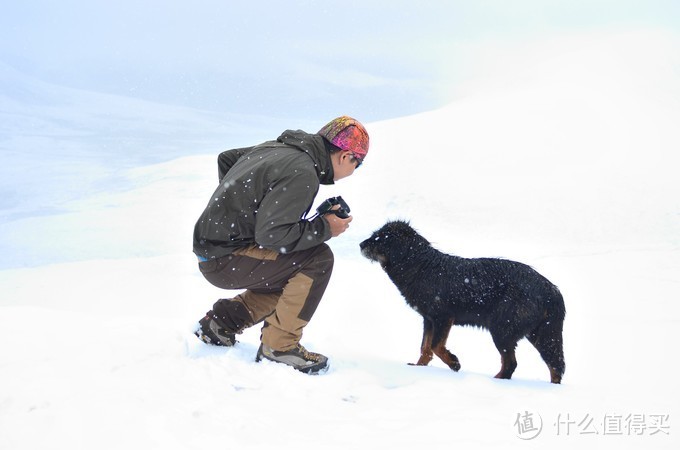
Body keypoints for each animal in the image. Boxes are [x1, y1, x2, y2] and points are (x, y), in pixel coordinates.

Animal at [358, 221, 564, 384]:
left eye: (379, 238)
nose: (360, 244)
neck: (421, 267)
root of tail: (552, 290)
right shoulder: (429, 319)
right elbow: (425, 348)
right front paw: (418, 368)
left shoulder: (443, 317)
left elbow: (436, 346)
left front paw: (454, 362)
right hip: (541, 334)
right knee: (555, 365)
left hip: (502, 330)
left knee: (511, 363)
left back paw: (496, 382)